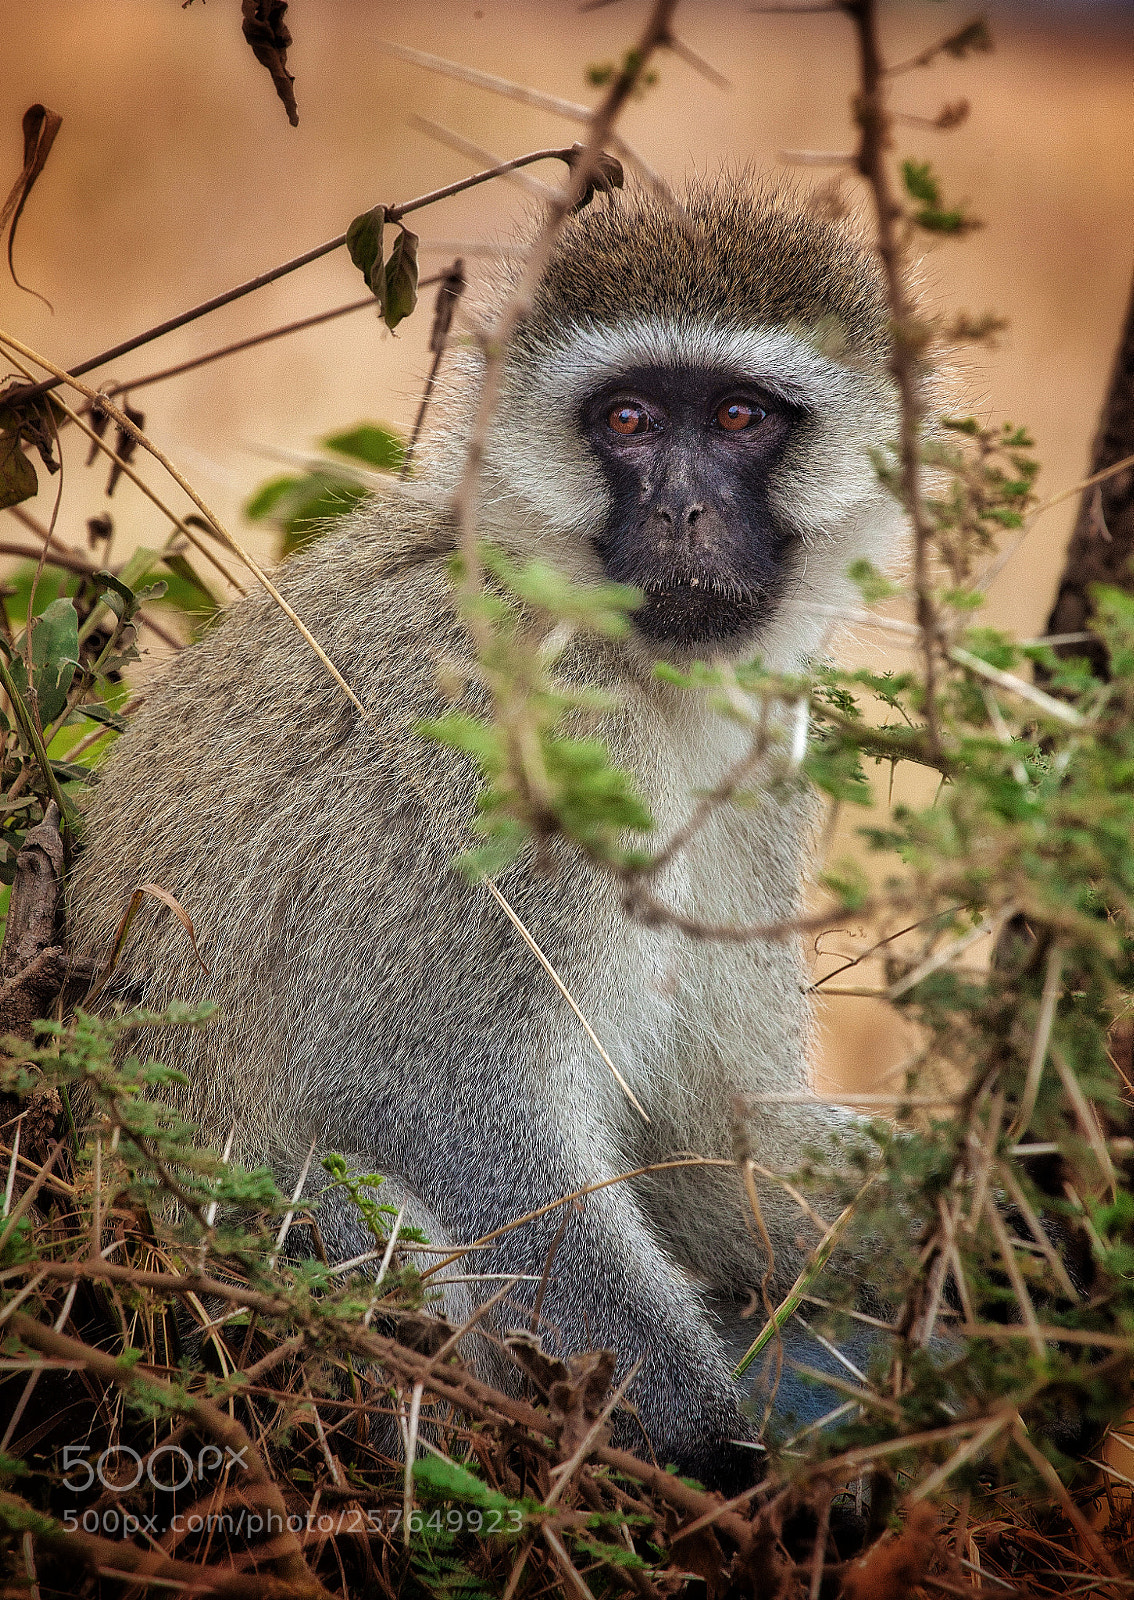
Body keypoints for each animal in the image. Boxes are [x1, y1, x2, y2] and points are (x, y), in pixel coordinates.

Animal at [66, 179, 905, 1492]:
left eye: (738, 415)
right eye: (626, 420)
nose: (682, 509)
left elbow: (708, 1149)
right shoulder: (501, 736)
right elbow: (438, 1101)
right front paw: (726, 1463)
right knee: (373, 1221)